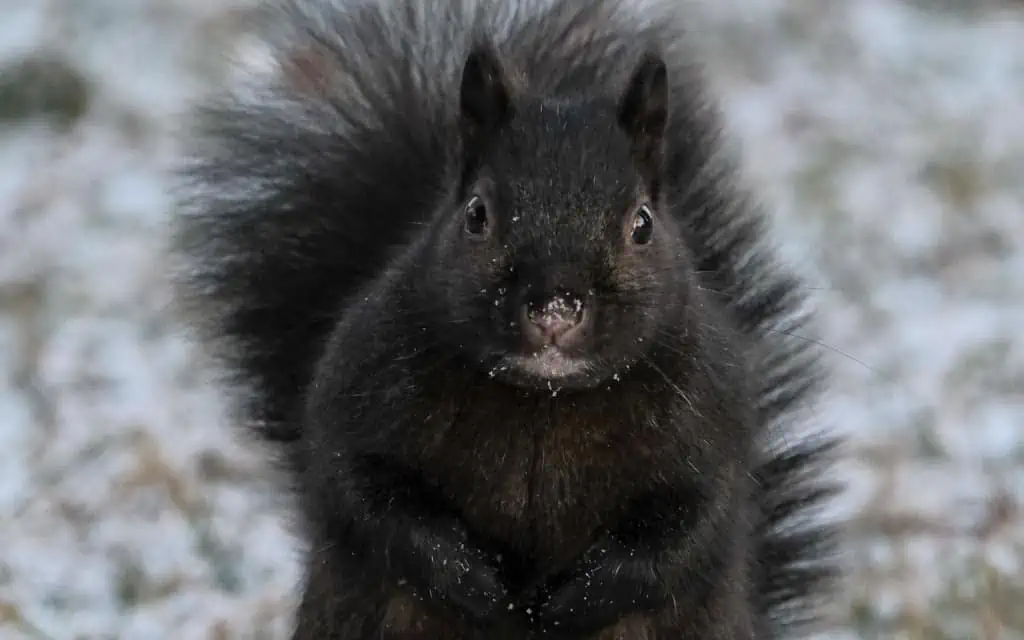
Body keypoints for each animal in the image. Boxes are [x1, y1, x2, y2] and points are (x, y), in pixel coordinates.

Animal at [169, 0, 839, 634]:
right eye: (476, 214)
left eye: (642, 224)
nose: (555, 308)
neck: (545, 401)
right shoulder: (359, 392)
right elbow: (368, 495)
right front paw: (476, 583)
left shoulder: (712, 426)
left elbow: (688, 527)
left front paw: (574, 600)